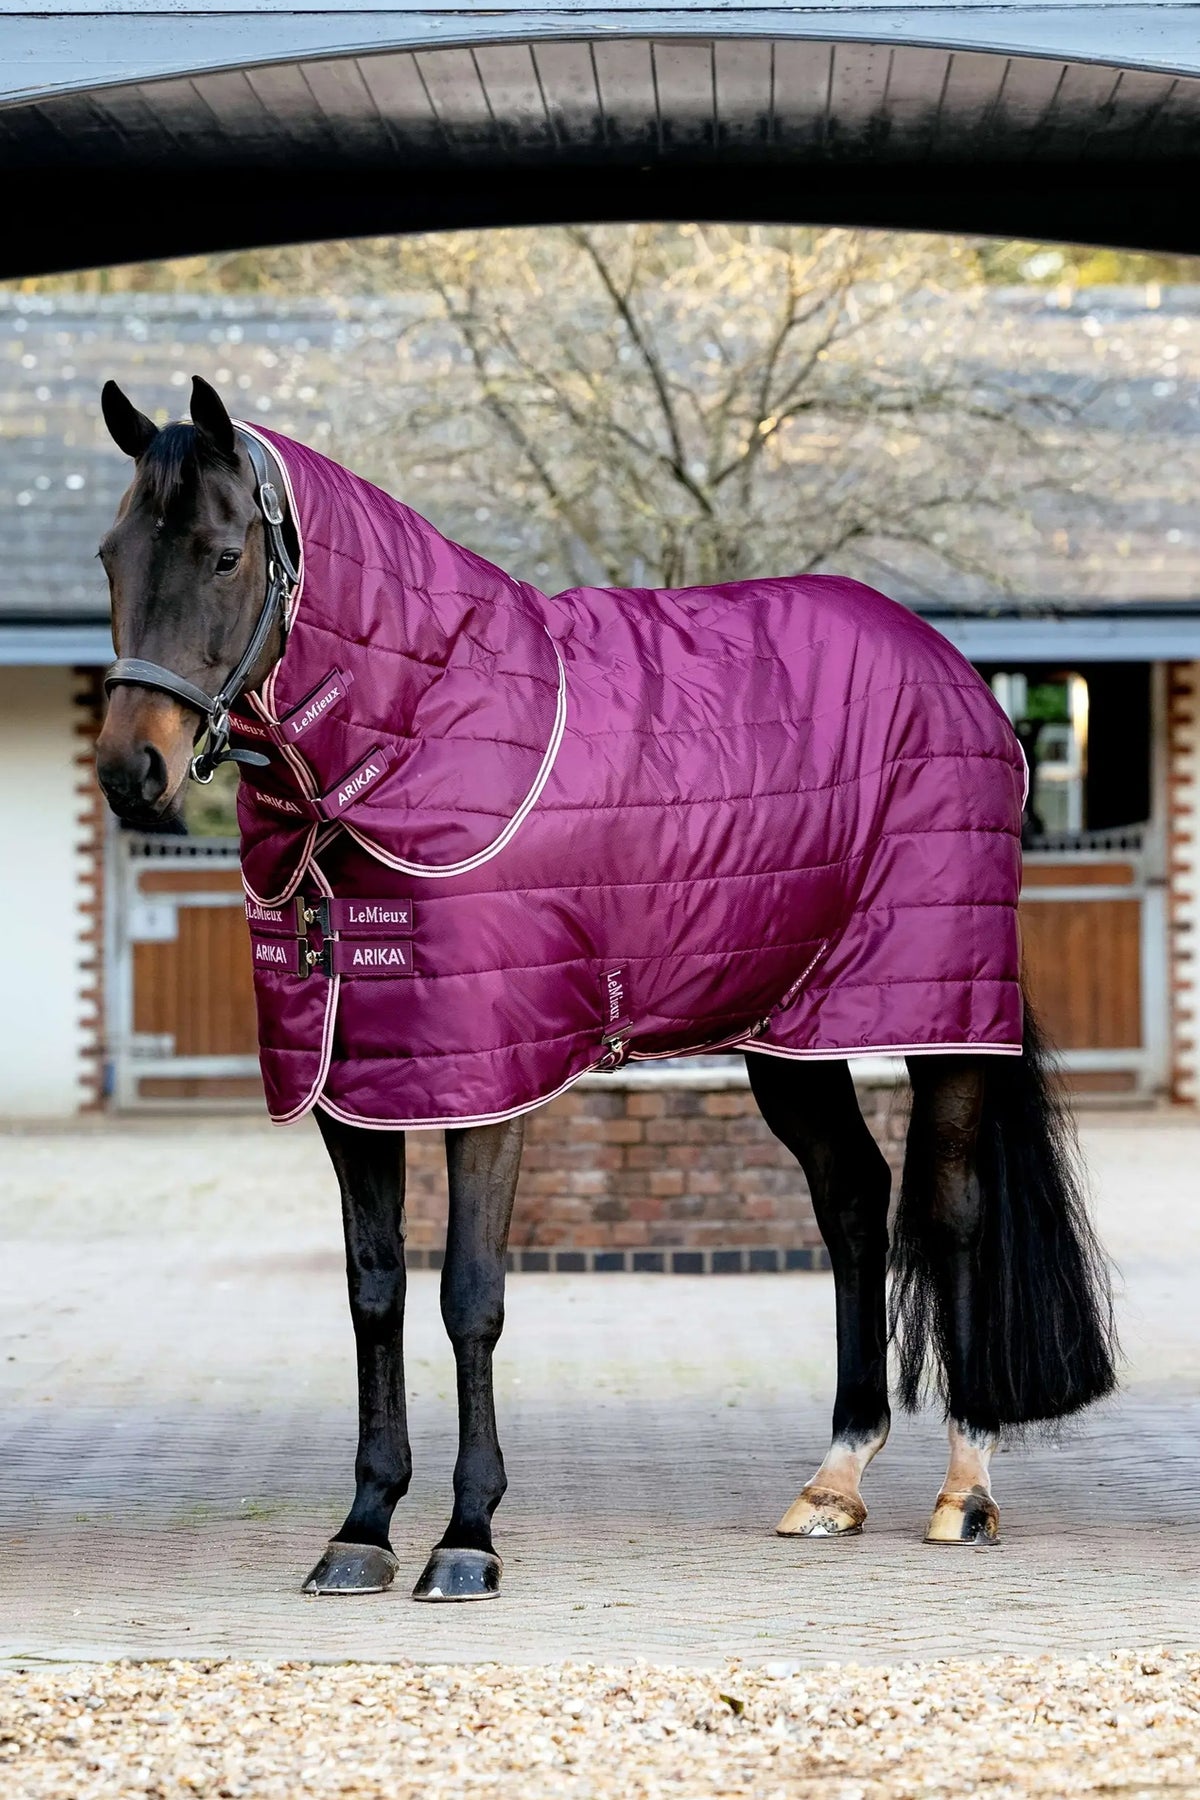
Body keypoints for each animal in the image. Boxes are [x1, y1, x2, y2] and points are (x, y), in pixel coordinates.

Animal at [94, 375, 1116, 1603]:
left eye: (224, 553)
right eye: (111, 555)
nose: (130, 770)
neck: (417, 726)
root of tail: (964, 683)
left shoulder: (490, 1084)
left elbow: (469, 1296)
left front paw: (467, 1536)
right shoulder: (356, 1086)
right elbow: (374, 1293)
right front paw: (363, 1527)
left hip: (942, 1017)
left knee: (949, 1212)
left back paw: (964, 1493)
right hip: (791, 1036)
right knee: (852, 1202)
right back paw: (835, 1480)